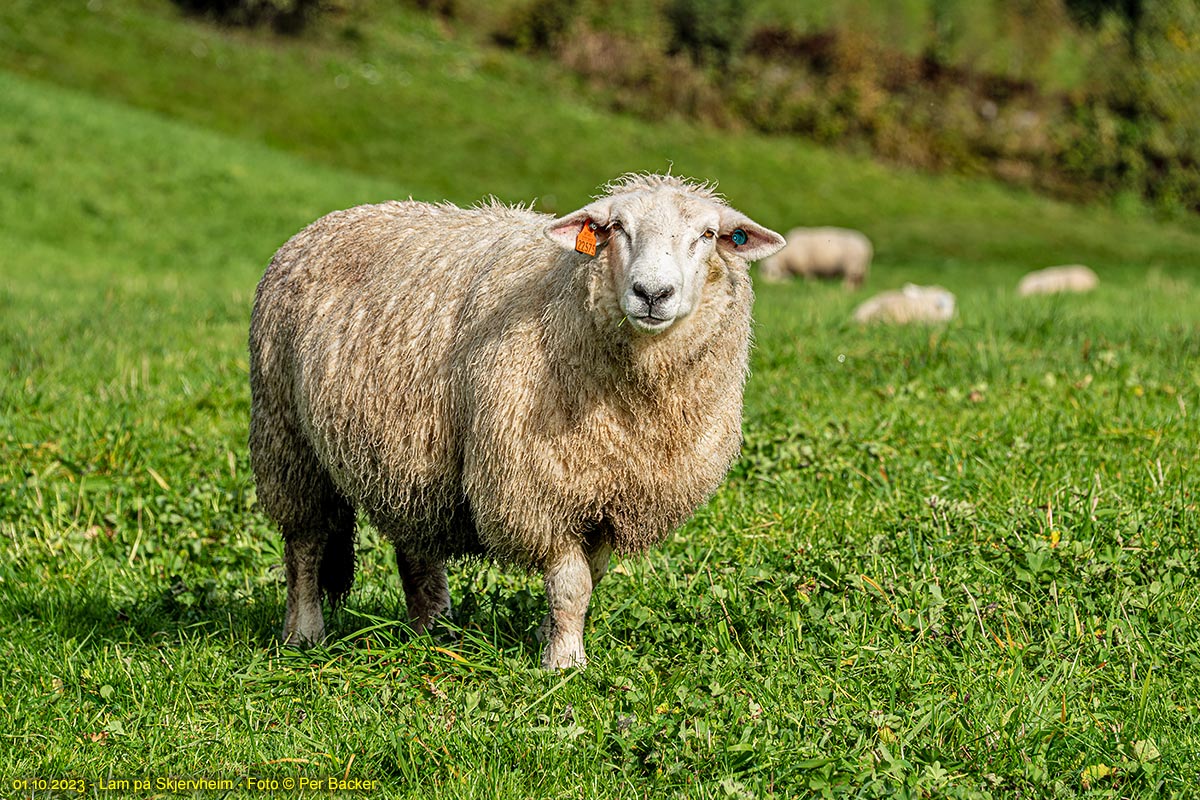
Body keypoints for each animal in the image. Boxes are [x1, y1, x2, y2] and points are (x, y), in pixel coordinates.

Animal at [246, 173, 787, 671]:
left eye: (708, 234)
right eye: (616, 228)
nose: (652, 293)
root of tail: (328, 221)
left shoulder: (610, 493)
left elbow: (590, 578)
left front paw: (551, 634)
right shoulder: (538, 490)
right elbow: (570, 584)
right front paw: (564, 663)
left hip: (409, 450)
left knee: (415, 543)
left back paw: (432, 632)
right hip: (286, 436)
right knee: (305, 546)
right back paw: (304, 634)